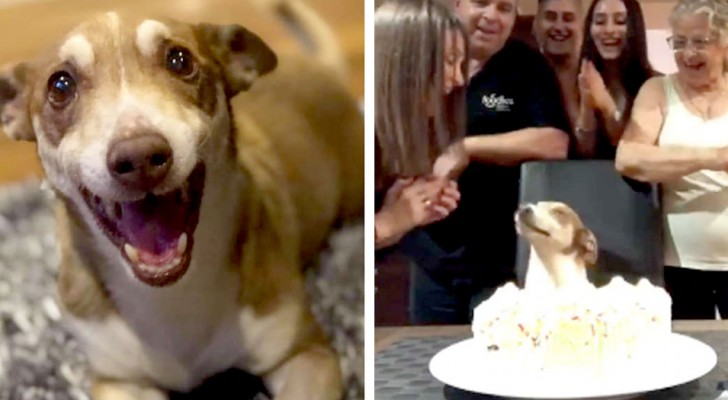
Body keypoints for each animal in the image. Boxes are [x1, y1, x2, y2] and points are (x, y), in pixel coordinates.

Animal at [0, 1, 364, 398]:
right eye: (60, 85)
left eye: (179, 60)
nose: (140, 157)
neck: (169, 296)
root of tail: (321, 67)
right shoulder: (118, 380)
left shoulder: (306, 354)